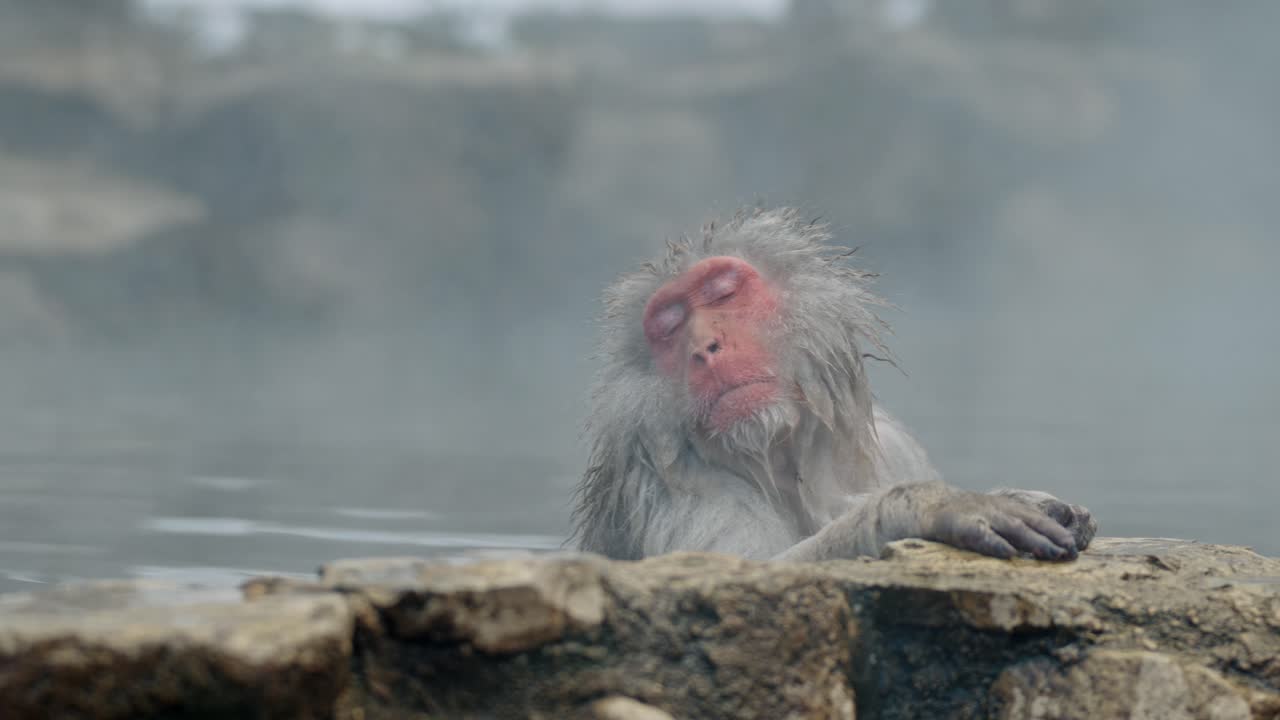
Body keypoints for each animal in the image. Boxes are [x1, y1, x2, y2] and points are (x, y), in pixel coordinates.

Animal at [570, 207, 1097, 562]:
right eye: (670, 326)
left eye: (724, 292)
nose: (705, 347)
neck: (785, 465)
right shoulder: (681, 490)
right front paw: (930, 506)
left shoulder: (893, 443)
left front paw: (1029, 498)